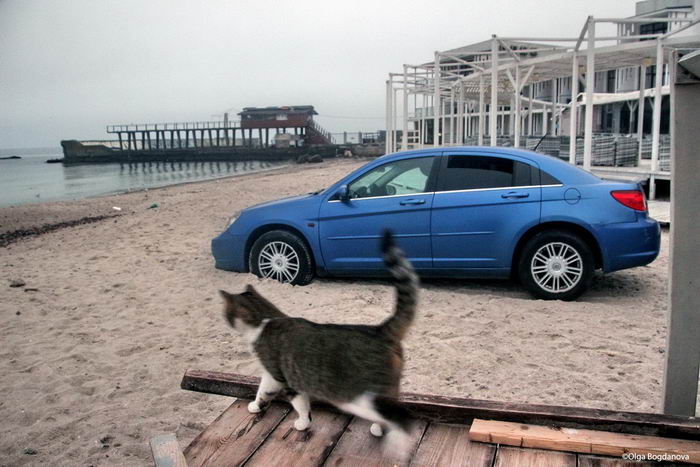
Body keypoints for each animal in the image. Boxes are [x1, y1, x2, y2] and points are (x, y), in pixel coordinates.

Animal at [219, 230, 418, 458]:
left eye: (226, 313)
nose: (224, 319)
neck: (264, 320)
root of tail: (379, 330)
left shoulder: (283, 377)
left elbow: (299, 405)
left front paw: (302, 424)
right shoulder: (274, 375)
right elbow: (263, 391)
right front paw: (256, 405)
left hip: (357, 398)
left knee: (402, 419)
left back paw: (398, 449)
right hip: (387, 390)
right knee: (391, 411)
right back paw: (380, 429)